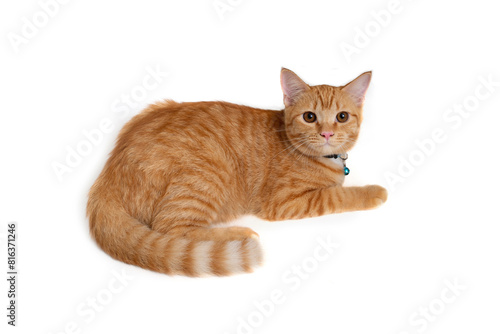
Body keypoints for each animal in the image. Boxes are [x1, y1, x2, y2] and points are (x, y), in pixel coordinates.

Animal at [88, 68, 388, 276]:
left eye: (342, 117)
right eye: (309, 117)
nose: (326, 133)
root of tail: (107, 175)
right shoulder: (283, 202)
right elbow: (336, 195)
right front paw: (374, 192)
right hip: (208, 173)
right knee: (172, 229)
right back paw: (240, 233)